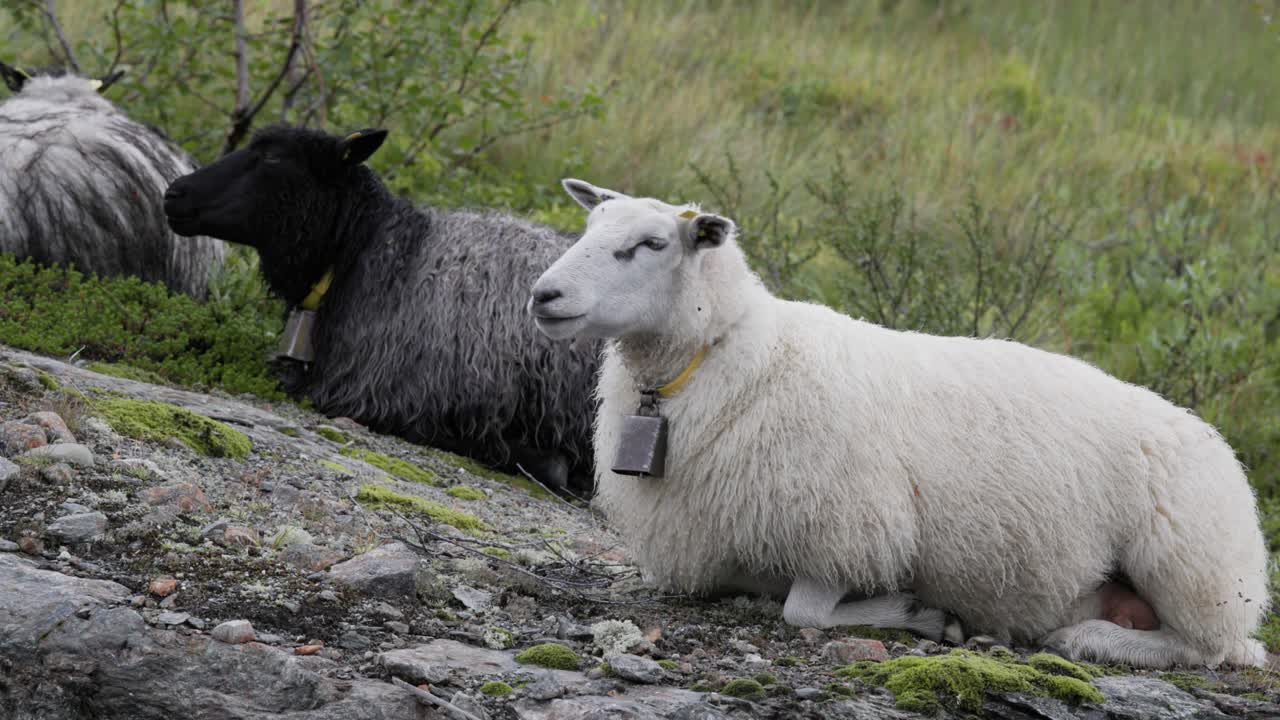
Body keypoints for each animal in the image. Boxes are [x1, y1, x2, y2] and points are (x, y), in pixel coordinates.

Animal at [527, 178, 1270, 669]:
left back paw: (1090, 640)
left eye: (651, 243)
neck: (739, 354)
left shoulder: (846, 523)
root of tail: (1216, 443)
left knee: (1213, 648)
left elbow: (805, 610)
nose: (543, 295)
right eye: (591, 228)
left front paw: (920, 614)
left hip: (1190, 563)